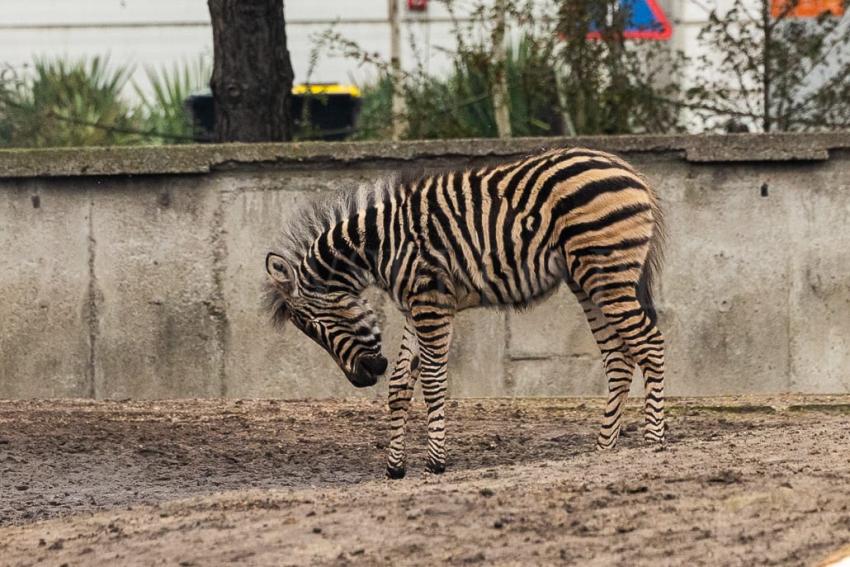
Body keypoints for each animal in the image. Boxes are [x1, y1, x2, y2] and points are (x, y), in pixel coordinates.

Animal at [264, 146, 664, 480]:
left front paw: (435, 463)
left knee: (650, 344)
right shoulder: (413, 307)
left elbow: (432, 380)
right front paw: (395, 467)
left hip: (606, 270)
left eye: (315, 325)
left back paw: (654, 442)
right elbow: (399, 385)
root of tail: (629, 169)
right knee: (619, 357)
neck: (379, 247)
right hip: (587, 280)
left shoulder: (431, 302)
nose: (361, 379)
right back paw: (603, 450)